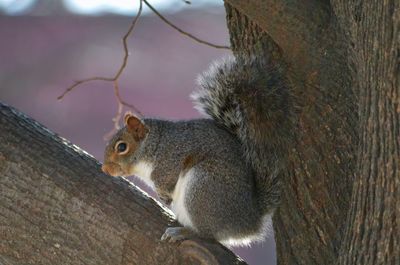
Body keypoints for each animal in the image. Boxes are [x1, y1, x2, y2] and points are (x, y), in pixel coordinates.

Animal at [101, 54, 292, 246]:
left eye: (122, 147)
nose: (105, 169)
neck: (154, 145)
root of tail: (249, 221)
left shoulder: (172, 156)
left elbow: (165, 178)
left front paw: (164, 194)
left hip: (202, 188)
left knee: (208, 234)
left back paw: (184, 232)